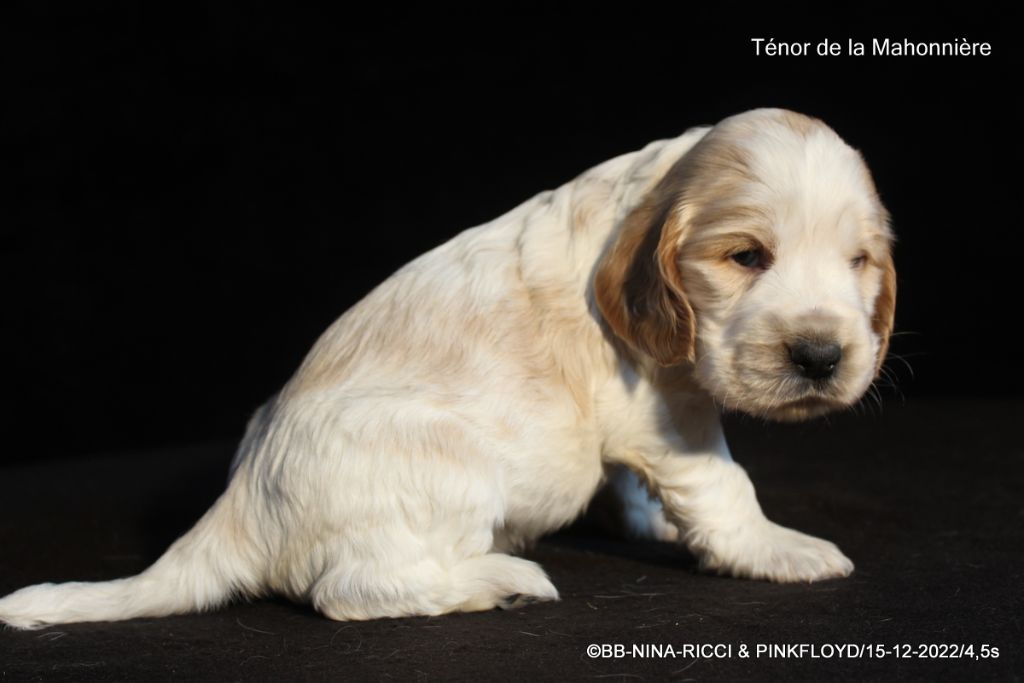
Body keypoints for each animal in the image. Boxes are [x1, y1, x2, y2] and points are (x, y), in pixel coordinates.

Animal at [0, 108, 895, 628]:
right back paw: (500, 578)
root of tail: (239, 509)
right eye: (746, 256)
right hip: (451, 467)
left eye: (858, 262)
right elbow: (722, 483)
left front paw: (651, 523)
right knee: (353, 590)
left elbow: (639, 487)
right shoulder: (666, 410)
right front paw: (777, 548)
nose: (821, 355)